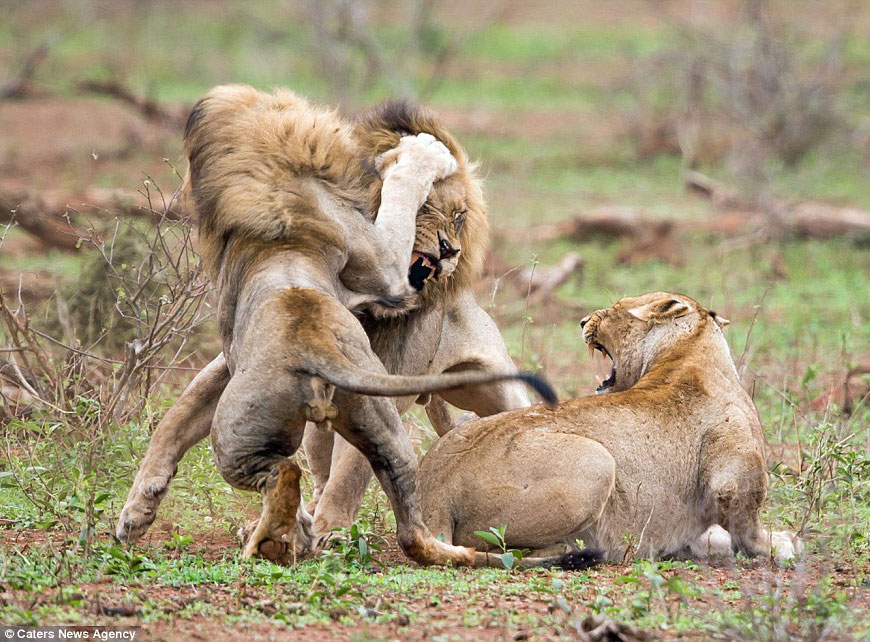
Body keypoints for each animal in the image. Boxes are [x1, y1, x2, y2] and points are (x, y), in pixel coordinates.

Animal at [114, 86, 552, 564]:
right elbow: (176, 419)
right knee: (320, 474)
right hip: (317, 429)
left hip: (494, 389)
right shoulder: (235, 357)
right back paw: (294, 530)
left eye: (460, 216)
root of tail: (316, 355)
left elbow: (350, 471)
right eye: (432, 210)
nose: (451, 251)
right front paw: (137, 511)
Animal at [416, 292, 804, 564]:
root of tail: (433, 492)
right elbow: (747, 526)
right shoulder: (734, 474)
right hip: (598, 462)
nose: (583, 320)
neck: (688, 352)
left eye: (614, 309)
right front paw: (780, 546)